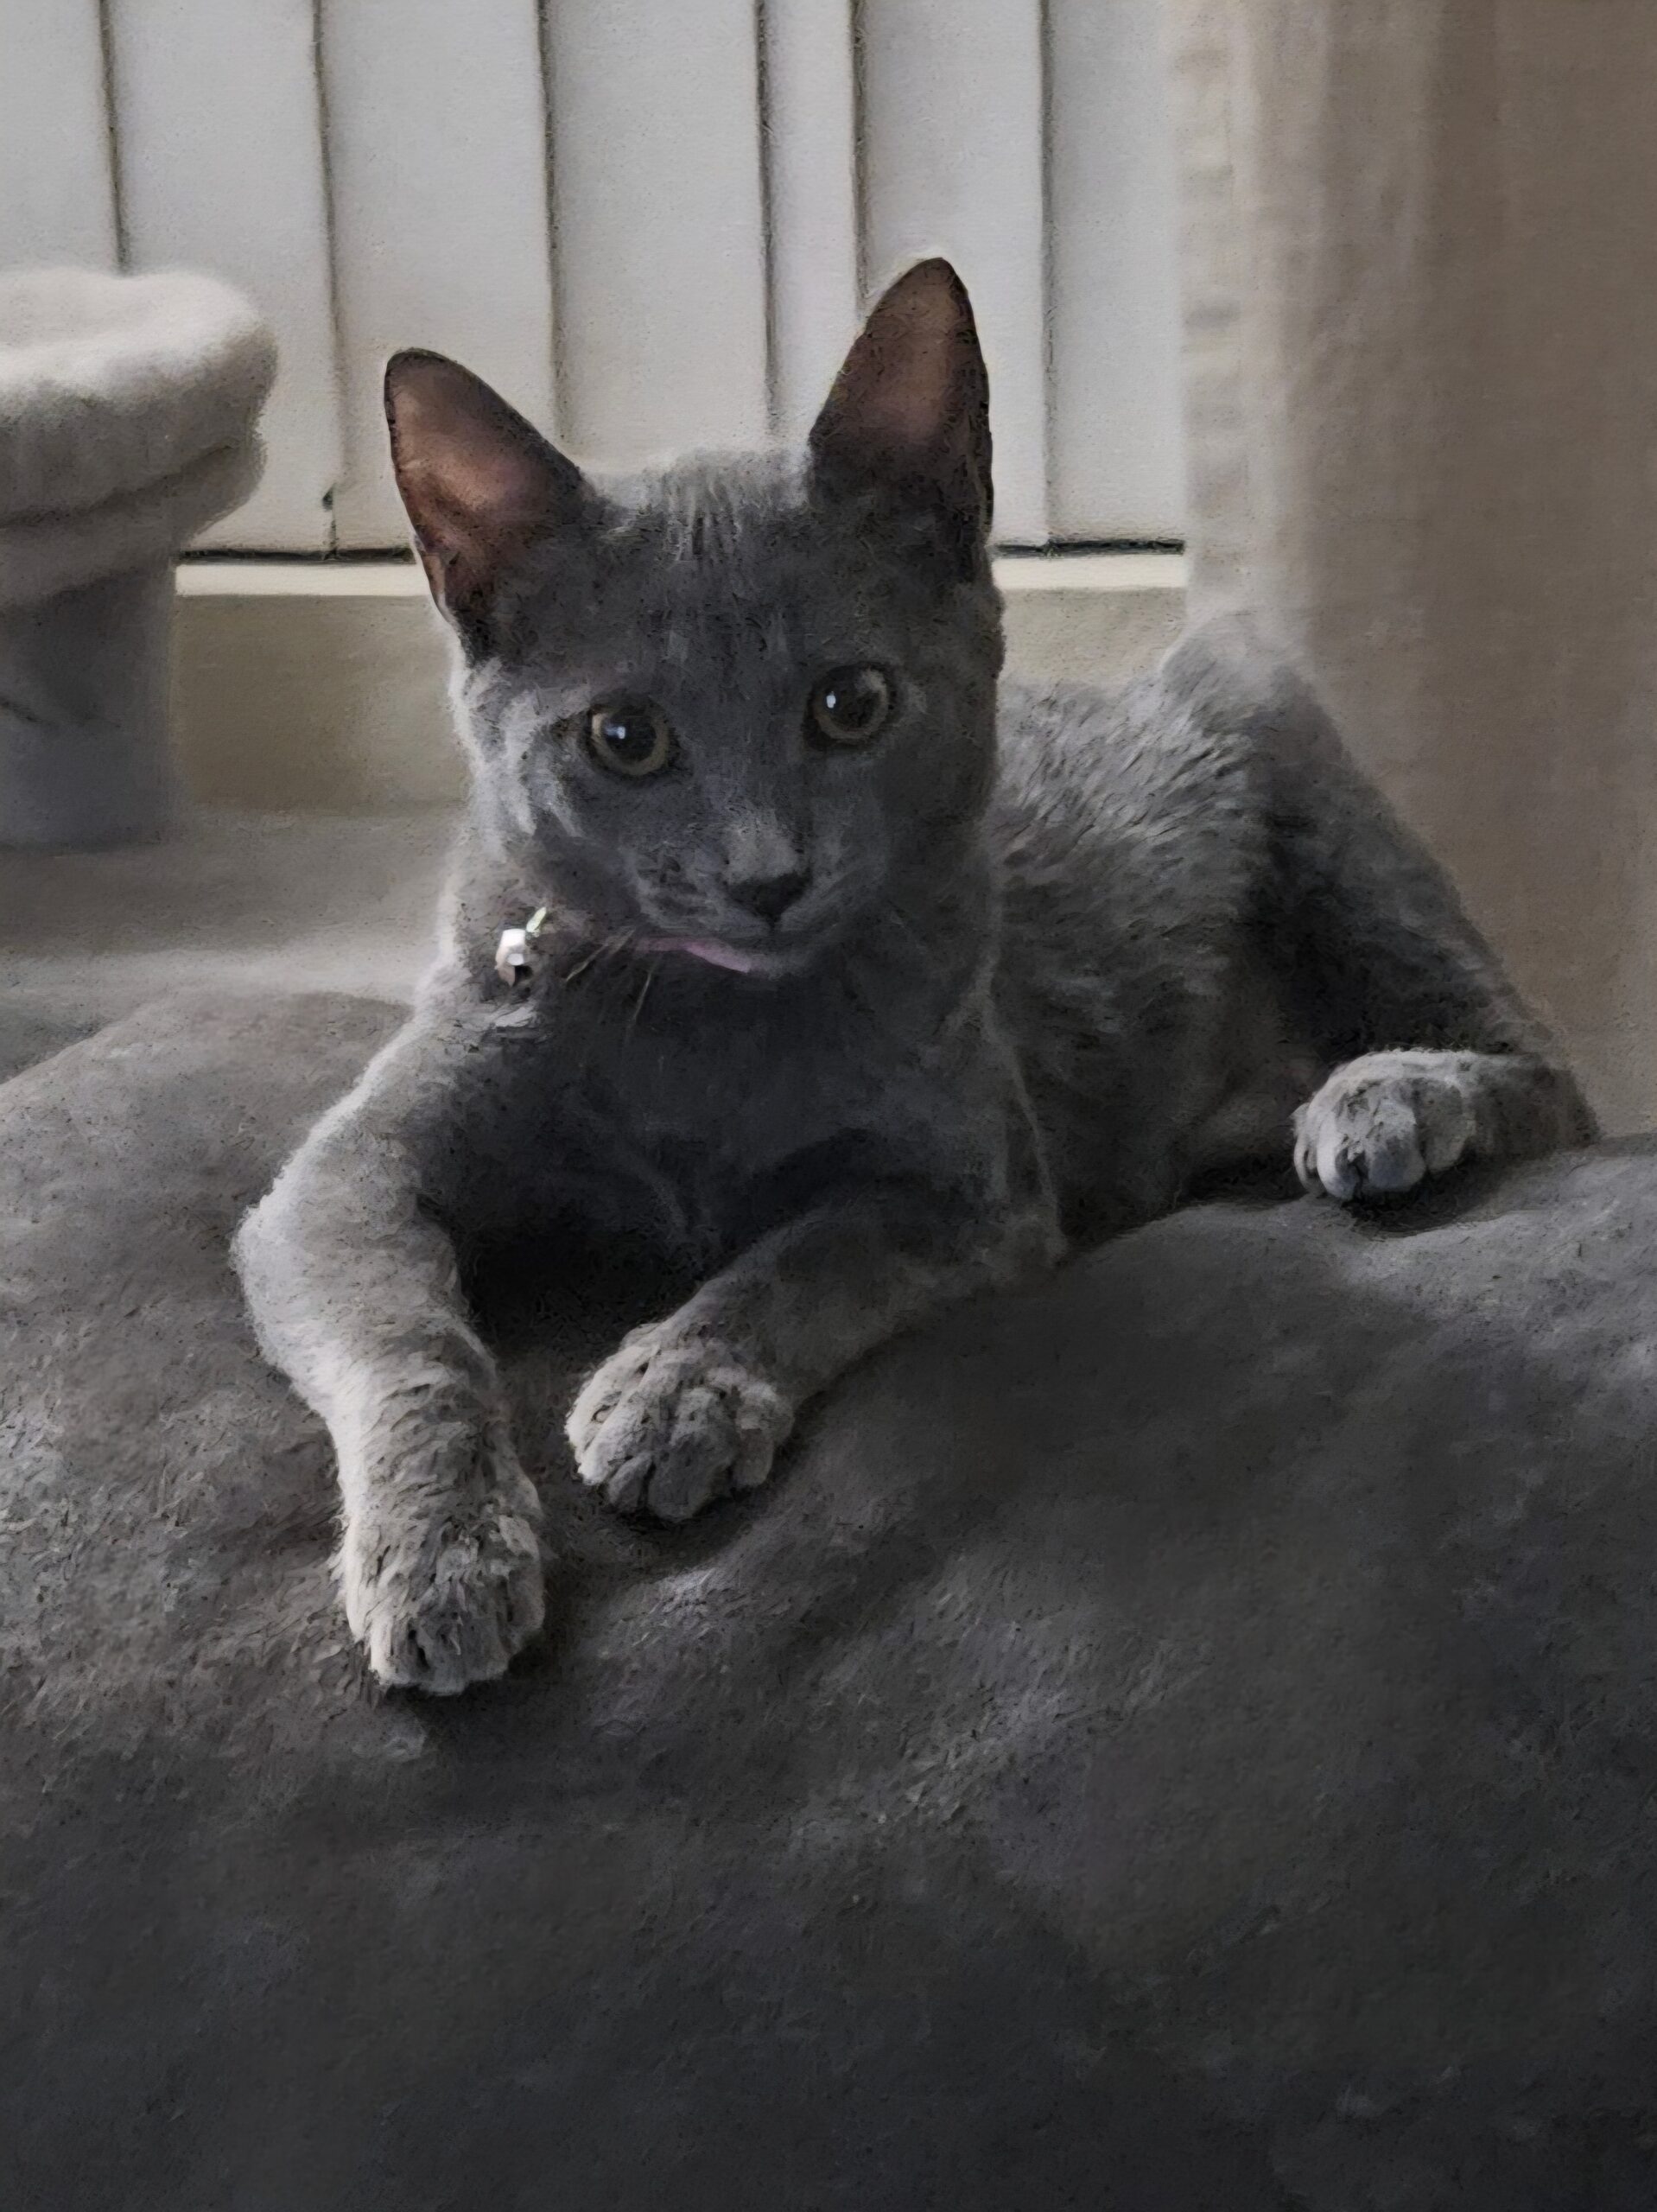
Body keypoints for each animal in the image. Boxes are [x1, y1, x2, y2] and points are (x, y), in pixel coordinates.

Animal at [234, 259, 1594, 1696]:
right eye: (623, 737)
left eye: (851, 703)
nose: (764, 874)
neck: (708, 1031)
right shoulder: (345, 1175)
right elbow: (414, 1343)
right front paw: (442, 1555)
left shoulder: (973, 1185)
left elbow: (809, 1248)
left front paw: (676, 1391)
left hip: (1287, 744)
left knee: (1550, 1077)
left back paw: (1385, 1101)